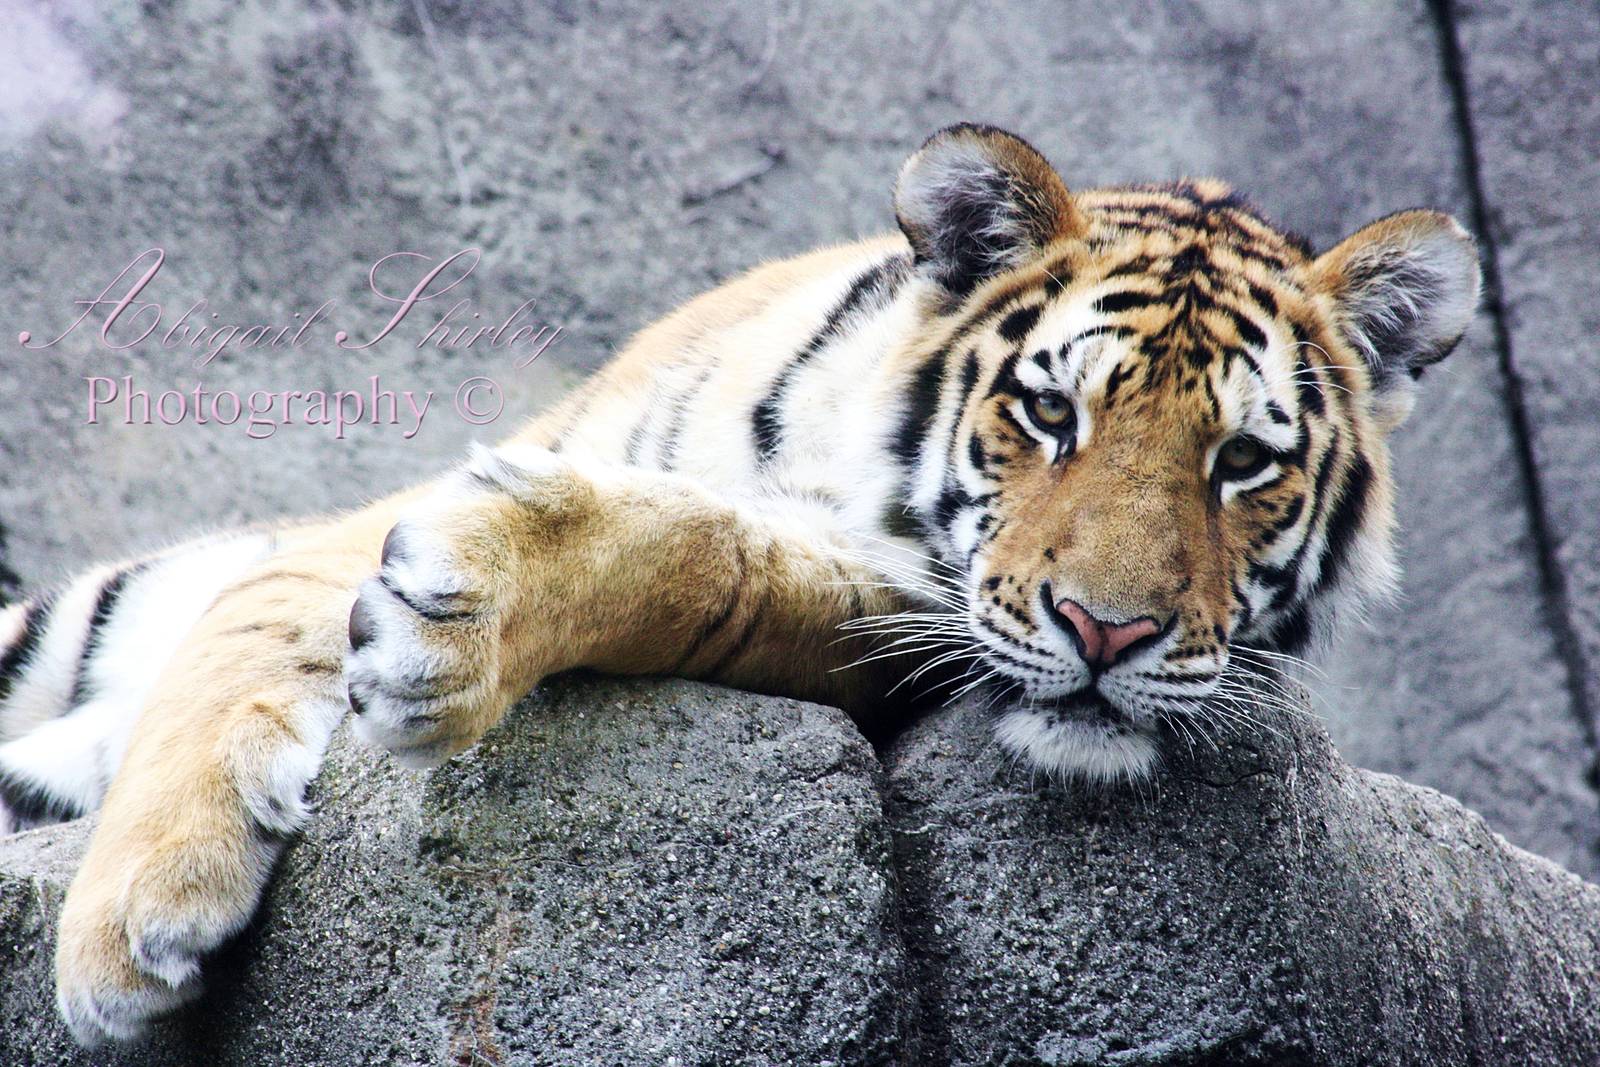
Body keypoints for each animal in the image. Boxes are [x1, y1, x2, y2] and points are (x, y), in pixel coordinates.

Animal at [0, 124, 1479, 1045]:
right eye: (1049, 413)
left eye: (1242, 462)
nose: (1106, 630)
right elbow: (235, 636)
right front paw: (128, 923)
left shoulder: (888, 605)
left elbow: (710, 560)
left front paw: (464, 611)